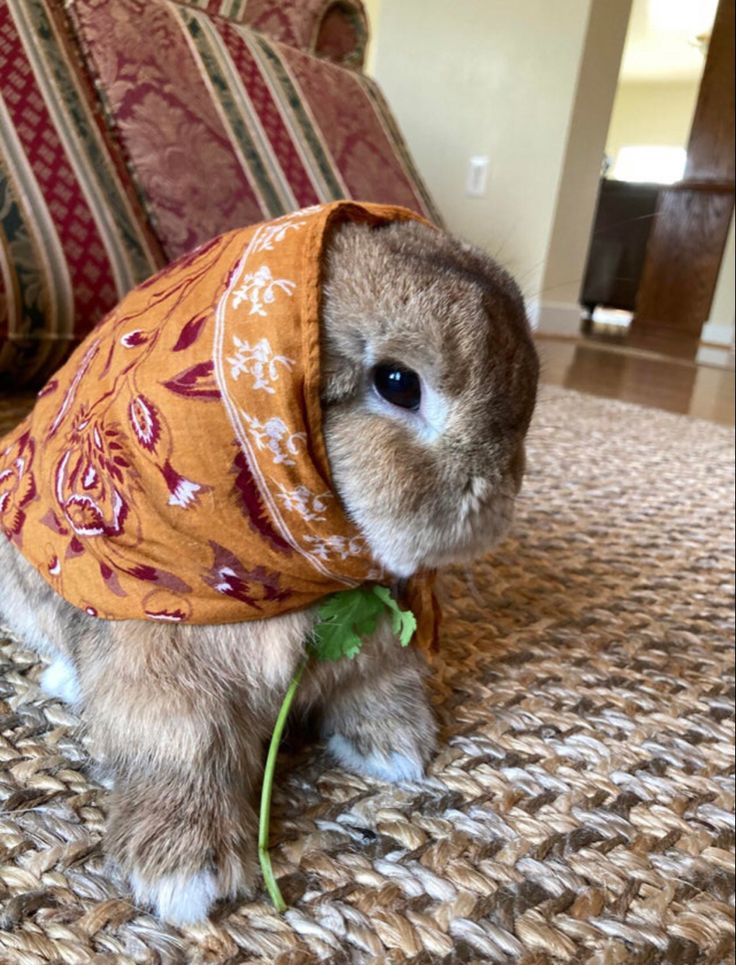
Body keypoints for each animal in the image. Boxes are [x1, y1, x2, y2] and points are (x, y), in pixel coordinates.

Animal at [0, 201, 540, 920]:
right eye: (399, 383)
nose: (498, 498)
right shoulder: (161, 674)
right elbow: (182, 749)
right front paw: (186, 874)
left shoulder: (377, 652)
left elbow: (380, 684)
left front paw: (395, 750)